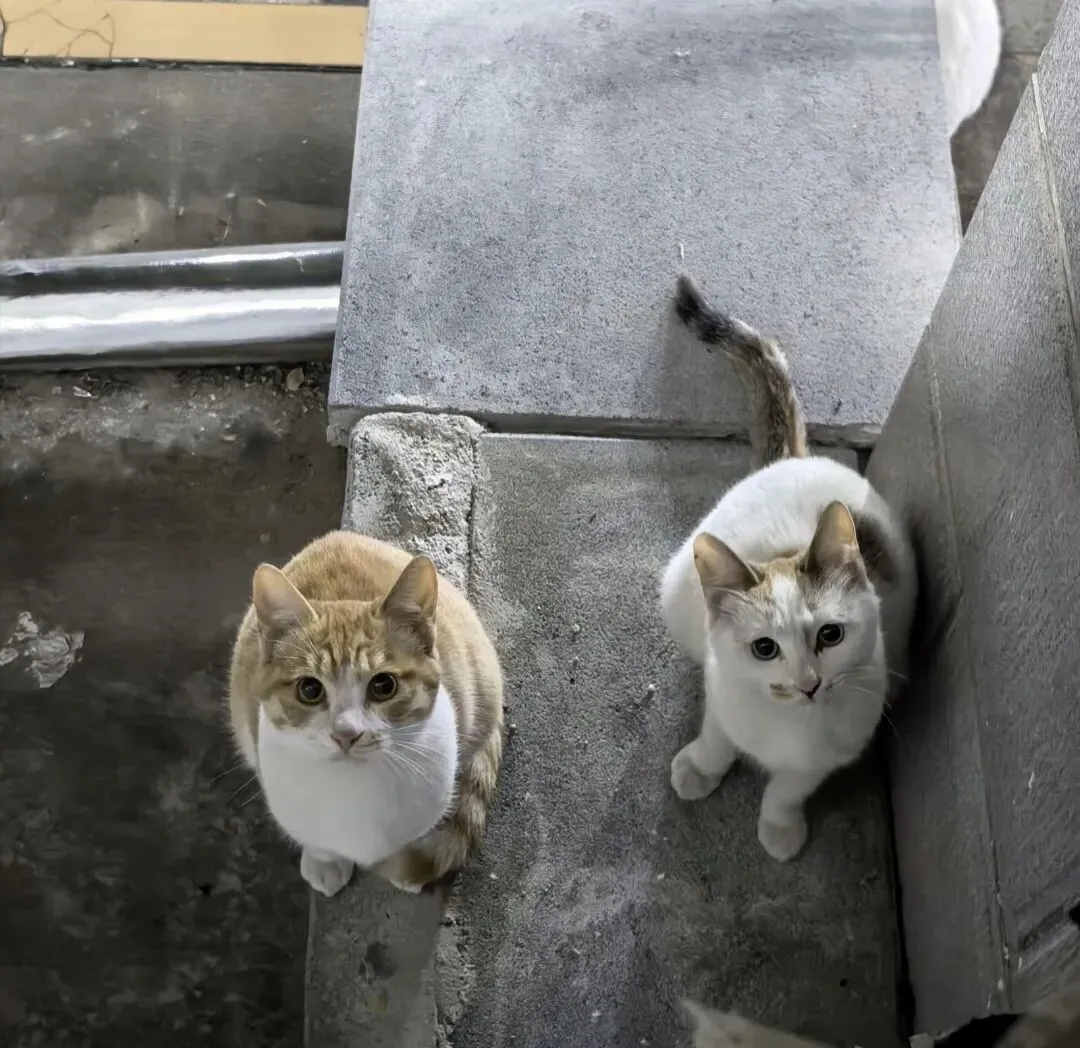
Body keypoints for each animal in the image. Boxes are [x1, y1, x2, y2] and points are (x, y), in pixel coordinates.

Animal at [228, 530, 504, 896]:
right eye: (309, 689)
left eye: (383, 685)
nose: (346, 733)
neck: (353, 787)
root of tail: (341, 535)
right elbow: (316, 840)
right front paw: (324, 861)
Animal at [660, 274, 917, 862]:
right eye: (764, 648)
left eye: (830, 634)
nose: (808, 684)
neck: (790, 725)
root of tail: (797, 458)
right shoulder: (723, 690)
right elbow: (716, 737)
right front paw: (700, 768)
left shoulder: (830, 753)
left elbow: (788, 789)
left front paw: (779, 827)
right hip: (676, 593)